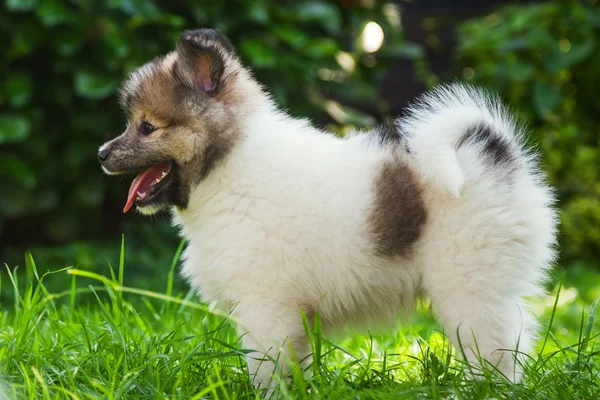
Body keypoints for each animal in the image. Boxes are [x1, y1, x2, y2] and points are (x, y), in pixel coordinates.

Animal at [97, 28, 556, 390]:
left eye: (147, 127)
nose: (101, 154)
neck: (226, 164)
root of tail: (495, 154)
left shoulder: (265, 307)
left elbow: (265, 368)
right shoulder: (289, 316)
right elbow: (293, 366)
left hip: (469, 288)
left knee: (496, 354)